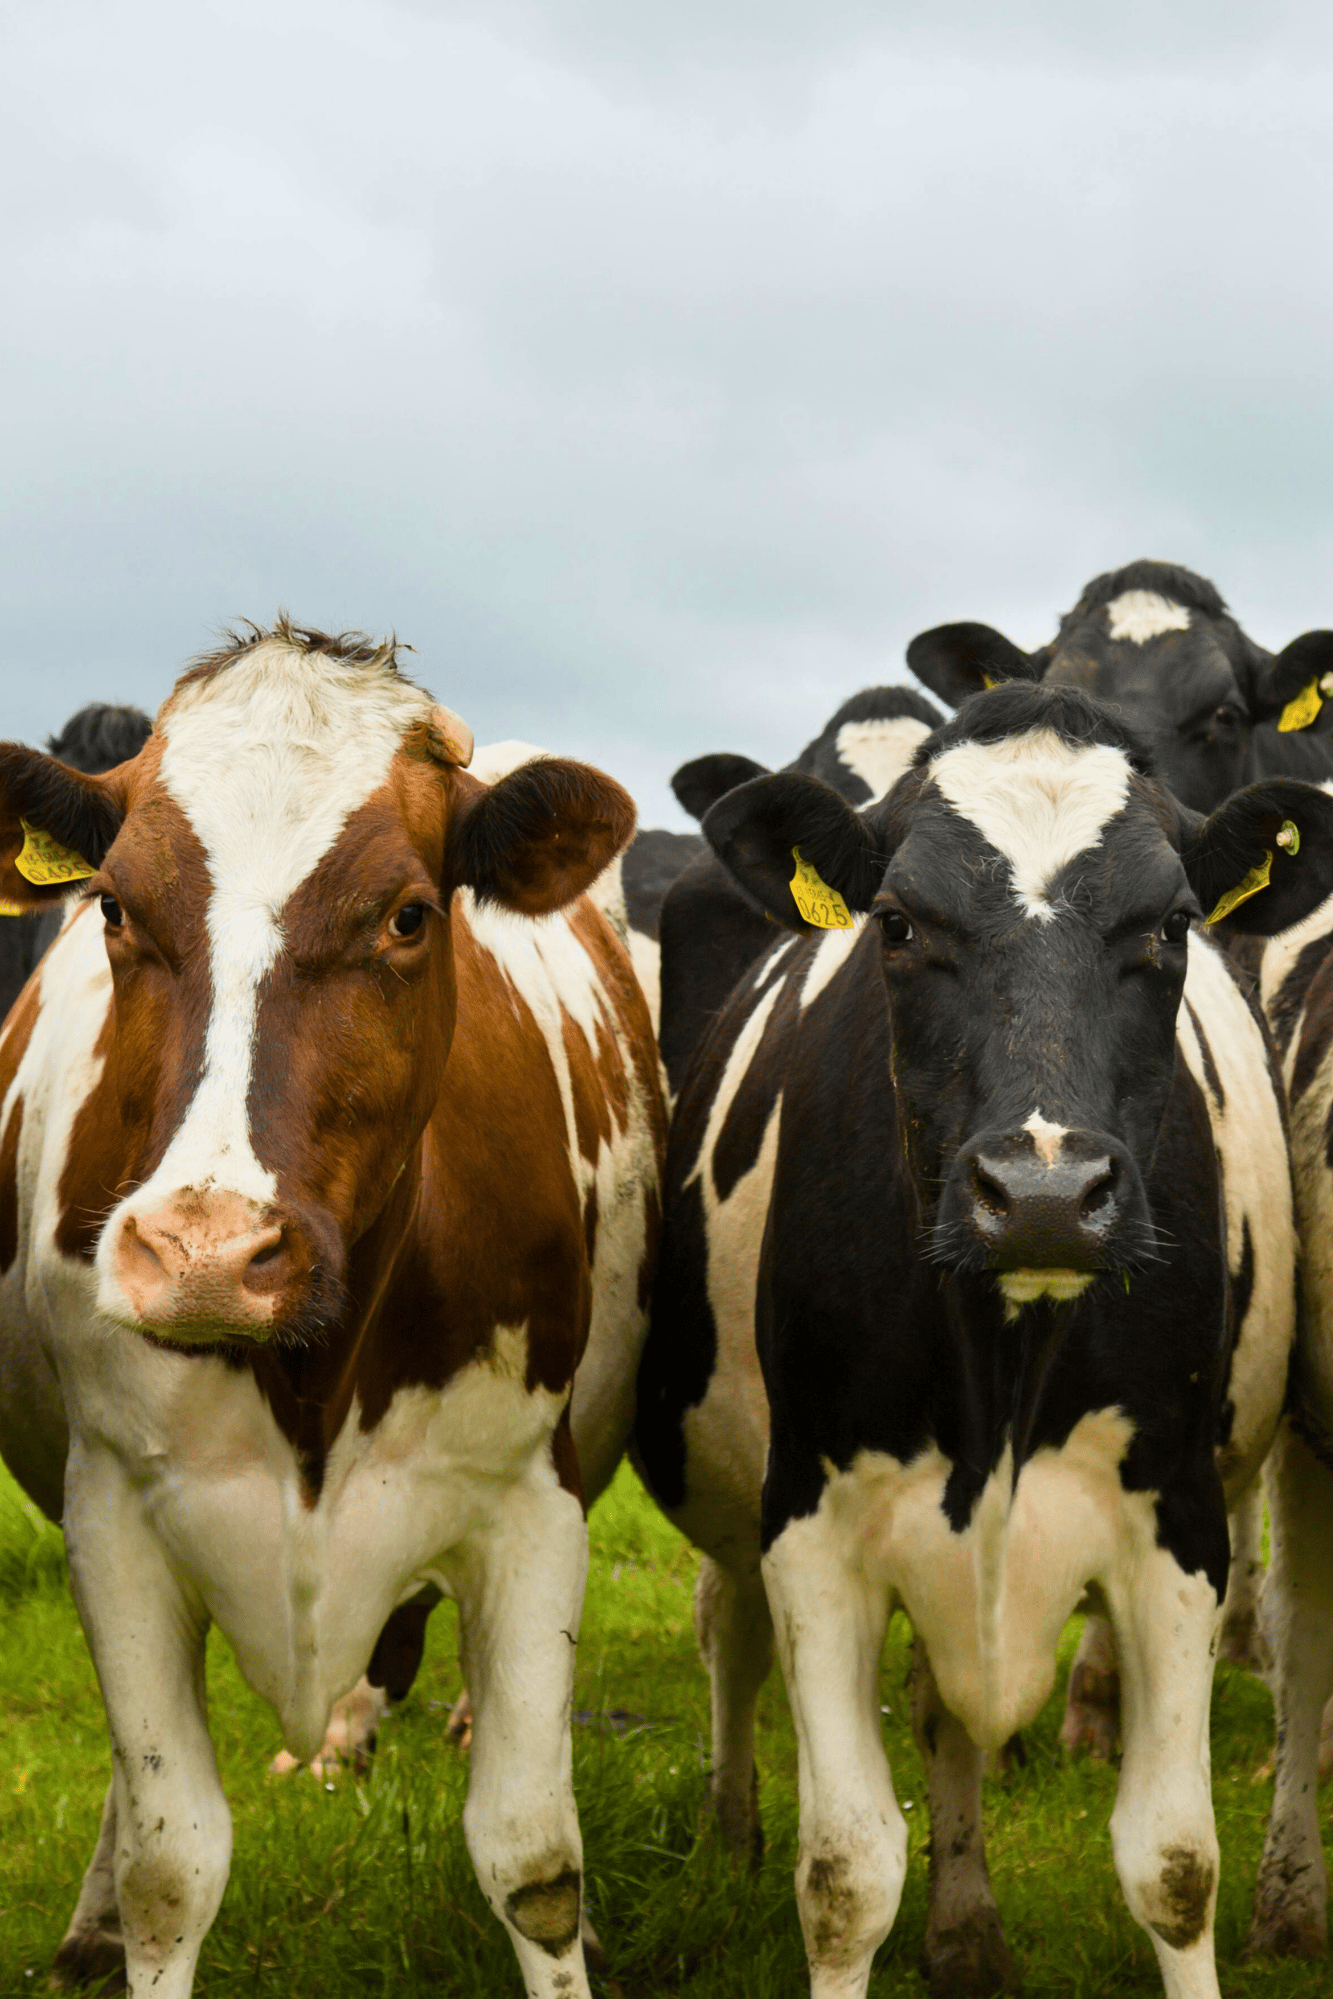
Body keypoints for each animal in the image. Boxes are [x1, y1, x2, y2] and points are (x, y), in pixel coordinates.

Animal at [0, 621, 665, 1999]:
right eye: (115, 907)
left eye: (408, 914)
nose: (206, 1254)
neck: (315, 1377)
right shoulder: (114, 1514)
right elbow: (169, 1861)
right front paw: (125, 1916)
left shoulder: (534, 1501)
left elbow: (534, 1856)